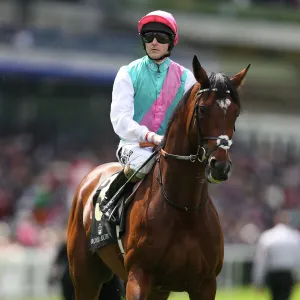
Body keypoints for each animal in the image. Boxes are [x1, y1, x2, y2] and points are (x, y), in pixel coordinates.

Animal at [67, 56, 250, 300]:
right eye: (202, 110)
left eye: (235, 113)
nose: (220, 166)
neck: (184, 210)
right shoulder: (138, 277)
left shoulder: (205, 284)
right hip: (85, 276)